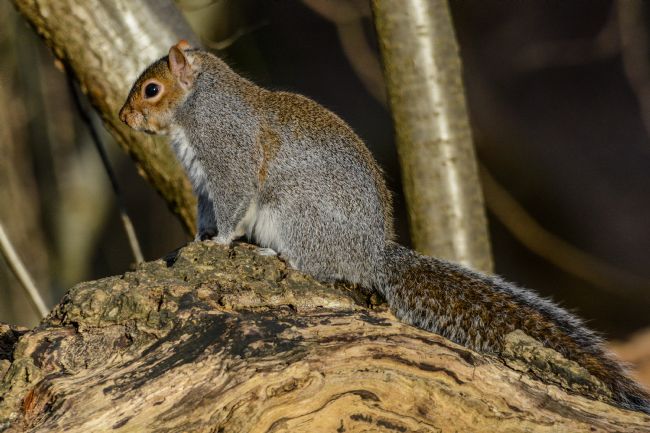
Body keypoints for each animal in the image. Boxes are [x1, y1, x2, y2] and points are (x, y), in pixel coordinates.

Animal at [119, 40, 650, 414]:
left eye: (151, 89)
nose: (124, 116)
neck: (198, 106)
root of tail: (372, 253)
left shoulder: (230, 158)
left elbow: (233, 205)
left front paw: (223, 242)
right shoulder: (203, 186)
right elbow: (208, 214)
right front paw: (199, 239)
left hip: (296, 215)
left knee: (317, 265)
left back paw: (276, 254)